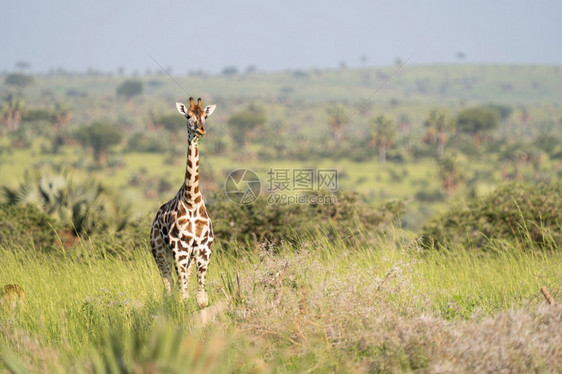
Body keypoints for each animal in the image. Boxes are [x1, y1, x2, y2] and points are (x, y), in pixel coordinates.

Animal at [150, 98, 215, 308]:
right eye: (188, 116)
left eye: (205, 116)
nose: (201, 130)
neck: (191, 200)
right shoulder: (179, 250)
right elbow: (183, 295)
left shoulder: (203, 249)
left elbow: (201, 299)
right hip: (159, 252)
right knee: (169, 285)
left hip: (188, 256)